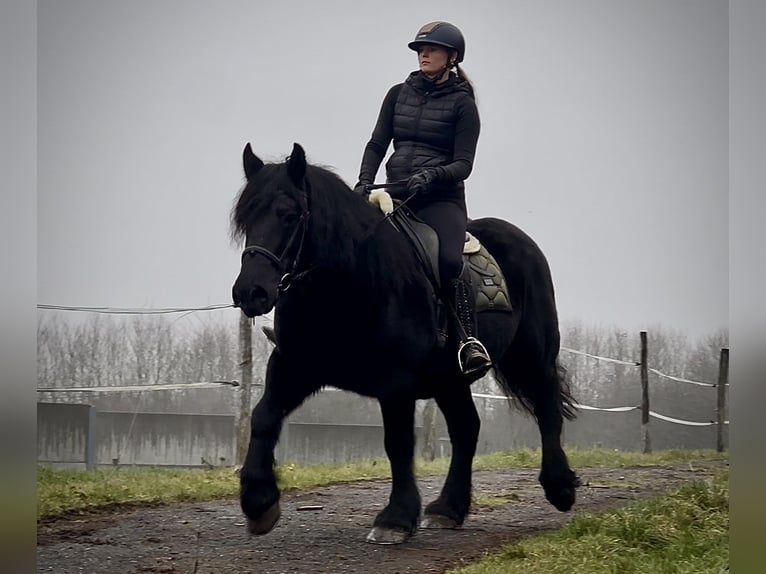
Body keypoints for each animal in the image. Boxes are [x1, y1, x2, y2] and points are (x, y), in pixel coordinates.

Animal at [230, 142, 579, 544]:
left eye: (289, 215)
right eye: (245, 218)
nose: (250, 292)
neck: (348, 283)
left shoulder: (396, 382)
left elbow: (397, 443)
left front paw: (395, 518)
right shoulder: (295, 365)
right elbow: (263, 417)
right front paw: (258, 502)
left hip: (532, 354)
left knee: (546, 407)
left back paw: (559, 487)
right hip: (449, 379)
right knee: (467, 428)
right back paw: (448, 509)